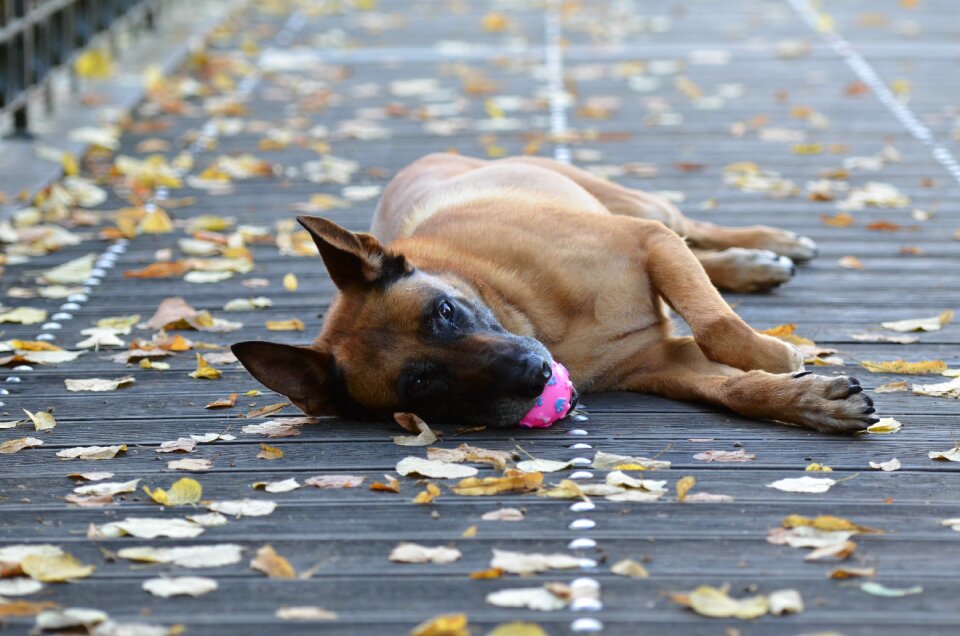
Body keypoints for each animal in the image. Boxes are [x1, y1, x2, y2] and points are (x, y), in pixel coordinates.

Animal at [231, 153, 876, 432]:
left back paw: (764, 247)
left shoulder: (648, 241)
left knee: (692, 228)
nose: (533, 374)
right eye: (422, 385)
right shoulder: (664, 363)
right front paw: (807, 400)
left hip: (644, 209)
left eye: (444, 311)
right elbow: (735, 389)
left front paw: (774, 355)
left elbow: (718, 326)